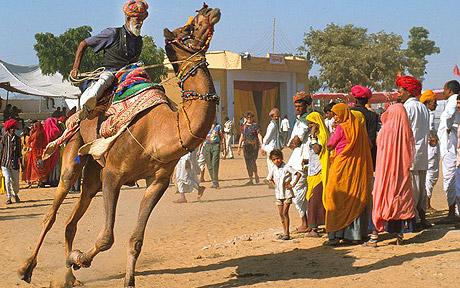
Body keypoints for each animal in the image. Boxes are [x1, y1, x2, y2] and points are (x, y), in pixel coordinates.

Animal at [16, 3, 221, 286]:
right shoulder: (114, 174)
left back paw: (70, 276)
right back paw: (27, 268)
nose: (209, 9)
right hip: (74, 150)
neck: (161, 130)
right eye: (187, 28)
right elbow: (106, 237)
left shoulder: (157, 181)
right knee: (52, 213)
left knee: (71, 221)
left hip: (94, 170)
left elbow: (136, 239)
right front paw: (80, 259)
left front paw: (124, 278)